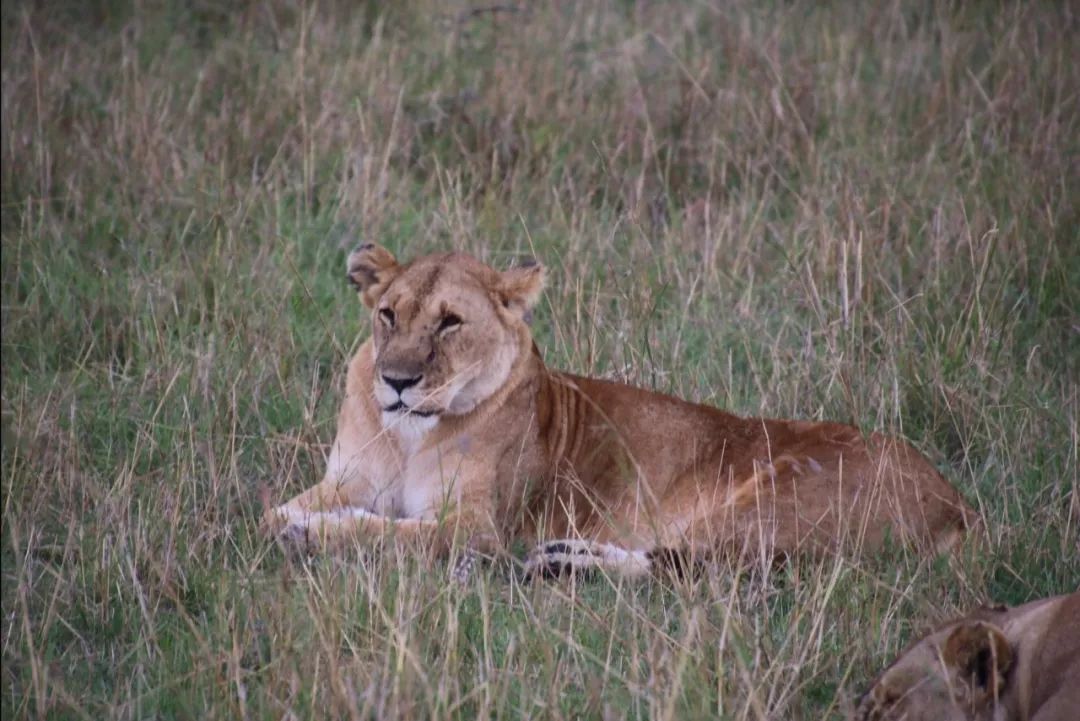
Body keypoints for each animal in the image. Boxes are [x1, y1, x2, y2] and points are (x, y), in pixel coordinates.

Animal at [263, 245, 980, 578]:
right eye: (389, 314)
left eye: (450, 322)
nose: (398, 381)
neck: (409, 436)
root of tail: (956, 500)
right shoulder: (346, 479)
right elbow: (278, 509)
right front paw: (290, 520)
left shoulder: (479, 531)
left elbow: (388, 533)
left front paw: (315, 533)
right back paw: (562, 554)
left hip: (773, 506)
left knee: (696, 570)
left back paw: (563, 564)